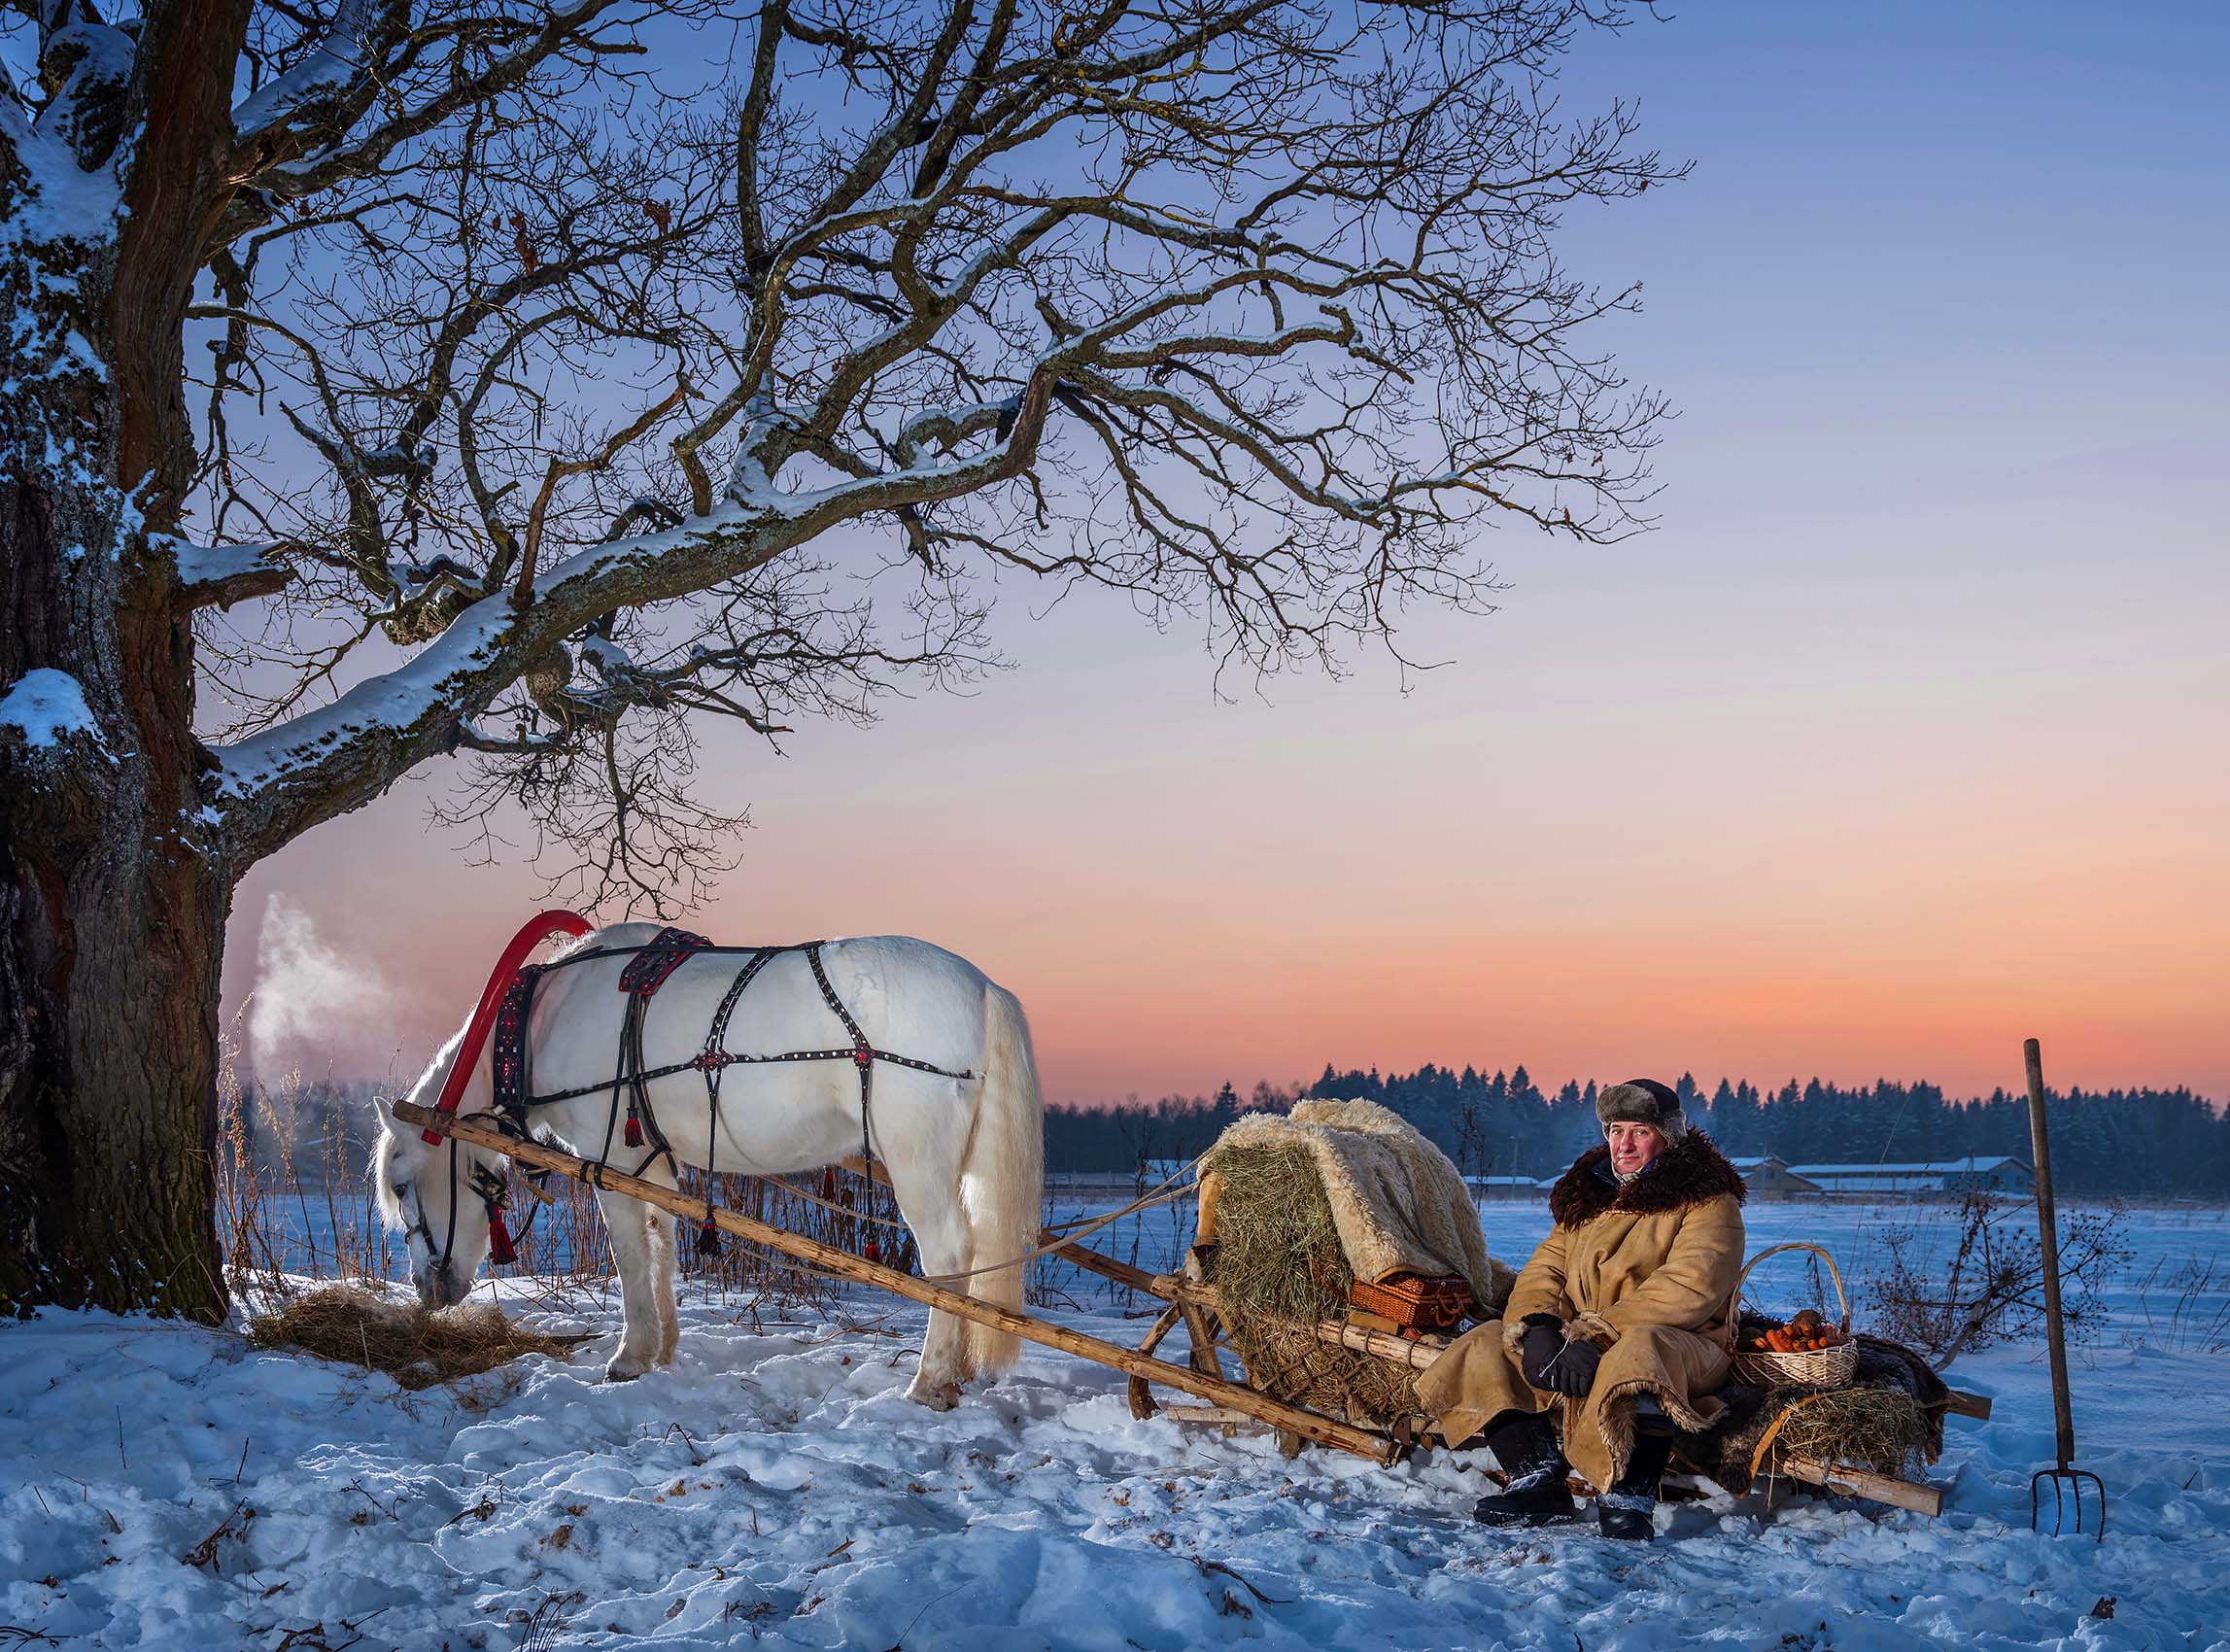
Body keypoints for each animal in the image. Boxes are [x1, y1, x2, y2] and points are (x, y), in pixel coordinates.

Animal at [372, 922, 1044, 1399]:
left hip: (916, 1162)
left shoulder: (607, 1158)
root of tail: (983, 988)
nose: (426, 1290)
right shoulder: (651, 1160)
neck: (539, 1023)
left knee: (950, 1257)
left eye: (401, 1186)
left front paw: (629, 1356)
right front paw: (663, 1348)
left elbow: (629, 1255)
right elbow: (662, 1243)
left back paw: (931, 1379)